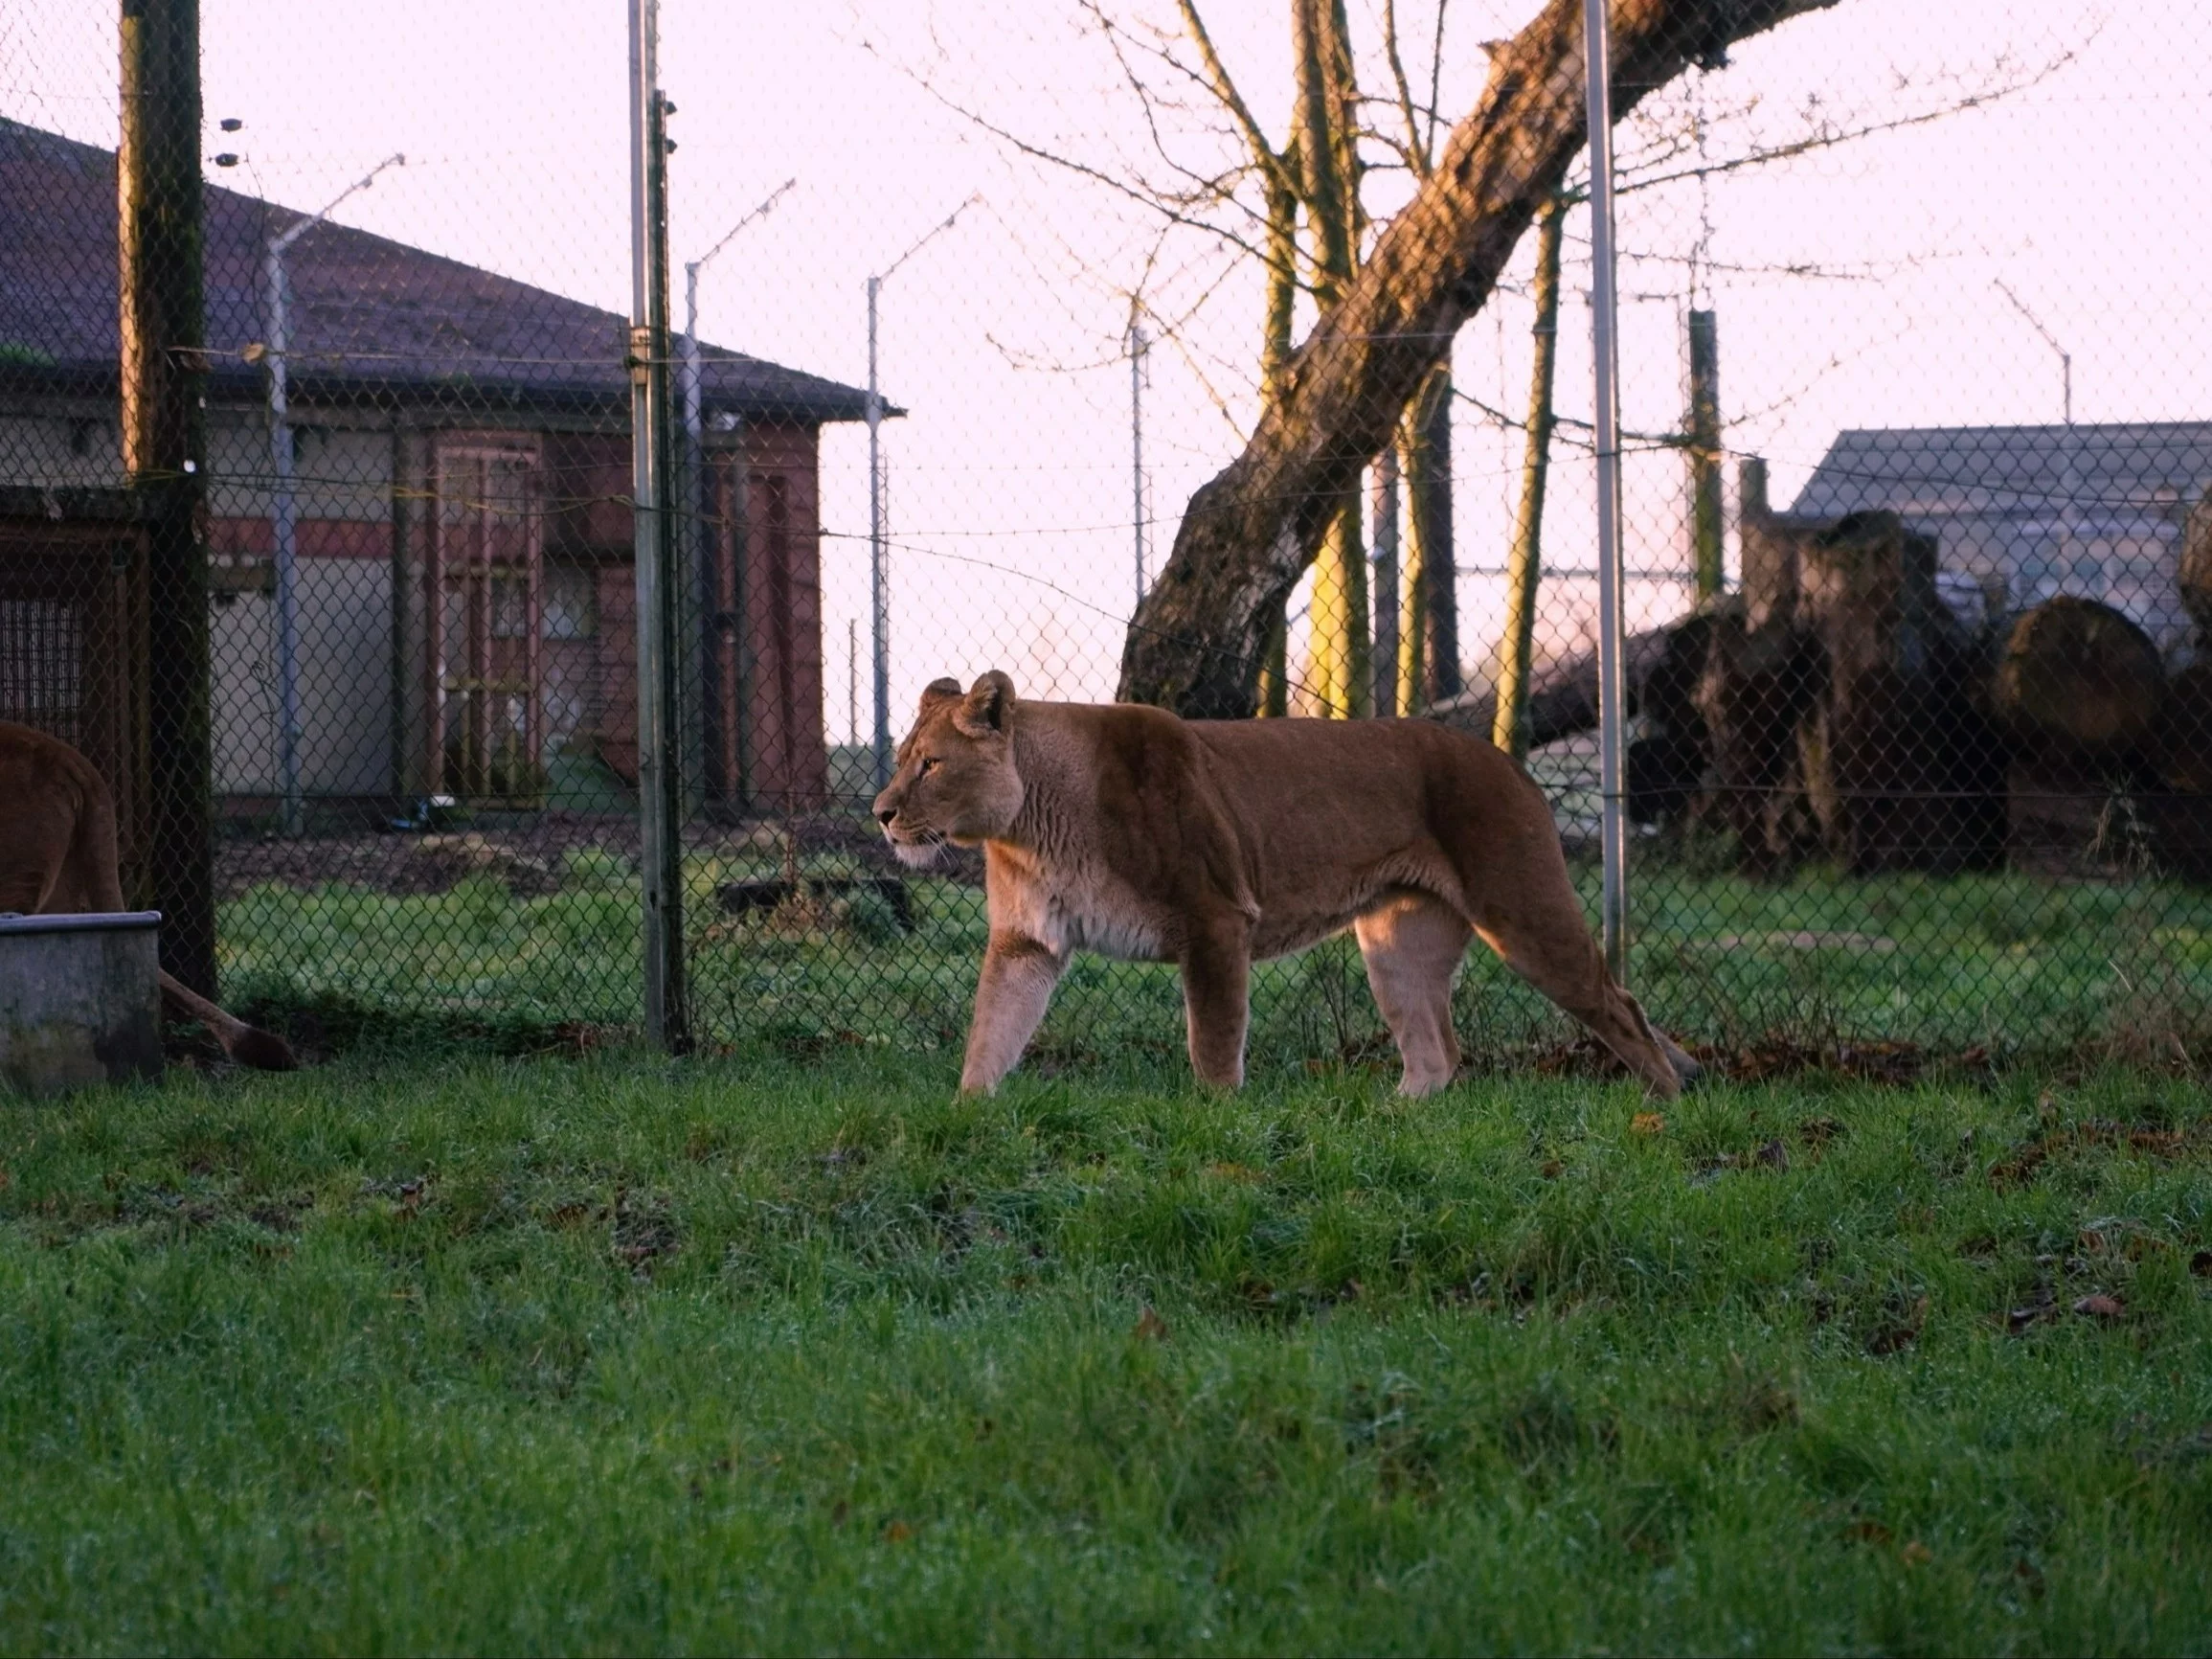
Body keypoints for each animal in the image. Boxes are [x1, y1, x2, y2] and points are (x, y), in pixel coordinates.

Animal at [871, 668, 1699, 1097]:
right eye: (904, 758)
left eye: (930, 765)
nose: (880, 813)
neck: (1033, 824)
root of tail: (1506, 759)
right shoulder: (1026, 944)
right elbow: (991, 1033)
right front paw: (968, 1115)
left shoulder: (1215, 919)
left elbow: (1213, 1039)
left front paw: (1214, 1120)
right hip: (1396, 943)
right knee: (1438, 1052)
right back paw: (1393, 1121)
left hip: (1522, 906)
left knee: (1618, 1004)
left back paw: (1664, 1108)